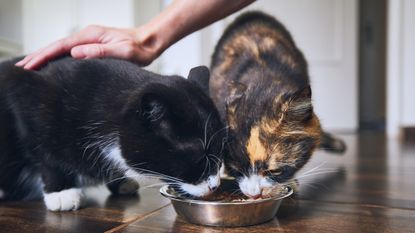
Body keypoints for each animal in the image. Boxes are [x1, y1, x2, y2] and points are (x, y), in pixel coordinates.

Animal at [0, 57, 226, 211]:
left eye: (220, 150)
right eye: (198, 154)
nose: (215, 186)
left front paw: (120, 181)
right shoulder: (26, 96)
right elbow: (44, 153)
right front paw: (61, 192)